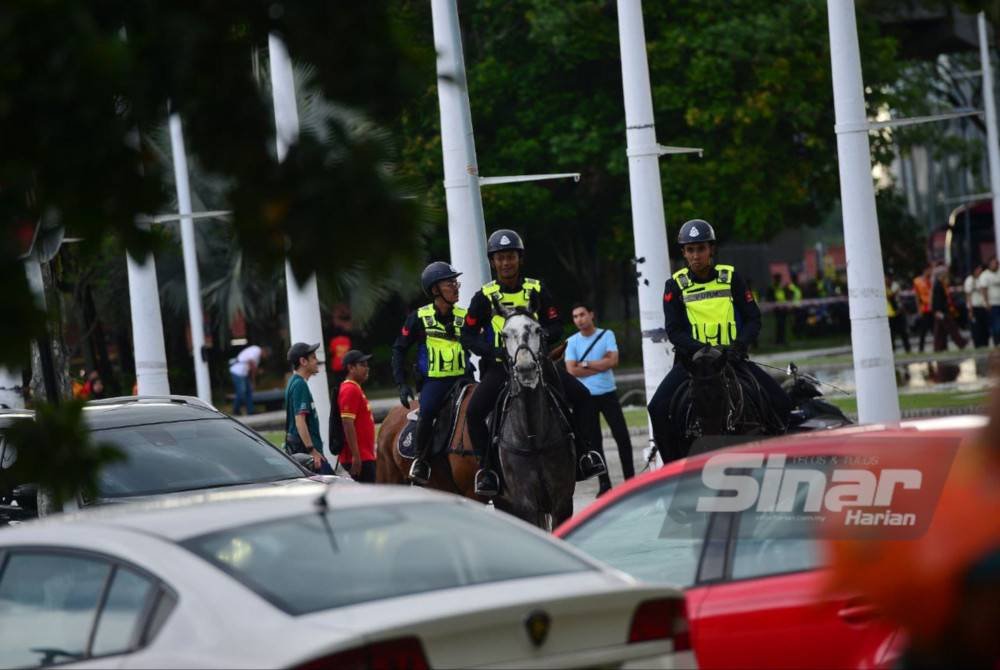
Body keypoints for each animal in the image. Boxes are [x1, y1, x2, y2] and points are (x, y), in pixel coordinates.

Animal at [488, 308, 576, 532]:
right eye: (504, 335)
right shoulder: (525, 503)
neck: (533, 436)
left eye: (538, 330)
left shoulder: (562, 500)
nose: (526, 368)